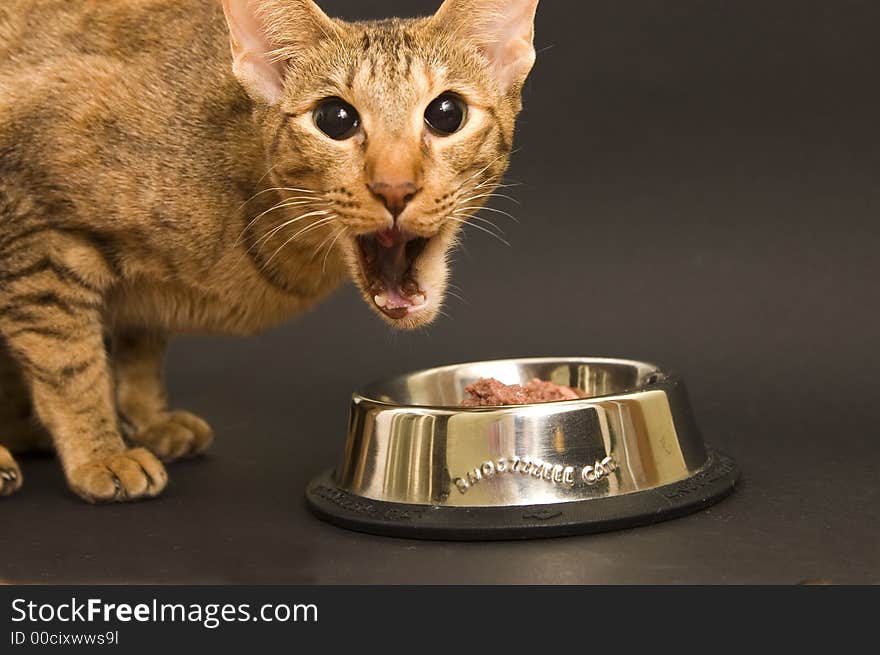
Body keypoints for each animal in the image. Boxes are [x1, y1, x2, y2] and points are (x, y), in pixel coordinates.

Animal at [0, 0, 536, 502]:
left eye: (447, 114)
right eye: (335, 119)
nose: (394, 188)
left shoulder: (136, 310)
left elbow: (140, 347)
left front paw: (147, 417)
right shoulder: (33, 230)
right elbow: (71, 363)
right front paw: (101, 452)